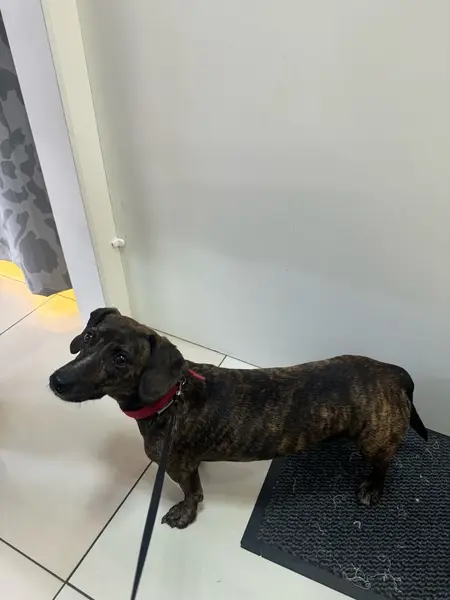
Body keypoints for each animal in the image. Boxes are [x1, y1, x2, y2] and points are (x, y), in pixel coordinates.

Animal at [49, 307, 428, 529]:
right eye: (88, 337)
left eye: (121, 358)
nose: (56, 381)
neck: (170, 398)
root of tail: (391, 371)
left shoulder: (178, 467)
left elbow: (192, 494)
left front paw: (184, 514)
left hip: (375, 441)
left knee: (383, 463)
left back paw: (372, 487)